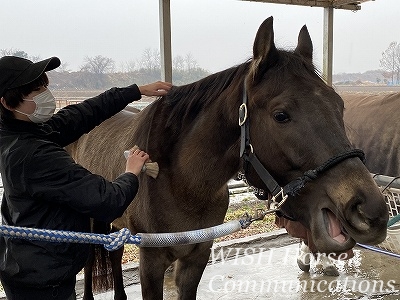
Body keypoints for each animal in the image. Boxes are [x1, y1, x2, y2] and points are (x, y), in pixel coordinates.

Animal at [68, 17, 388, 300]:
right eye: (281, 115)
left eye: (340, 105)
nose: (369, 211)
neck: (180, 182)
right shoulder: (151, 262)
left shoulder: (196, 257)